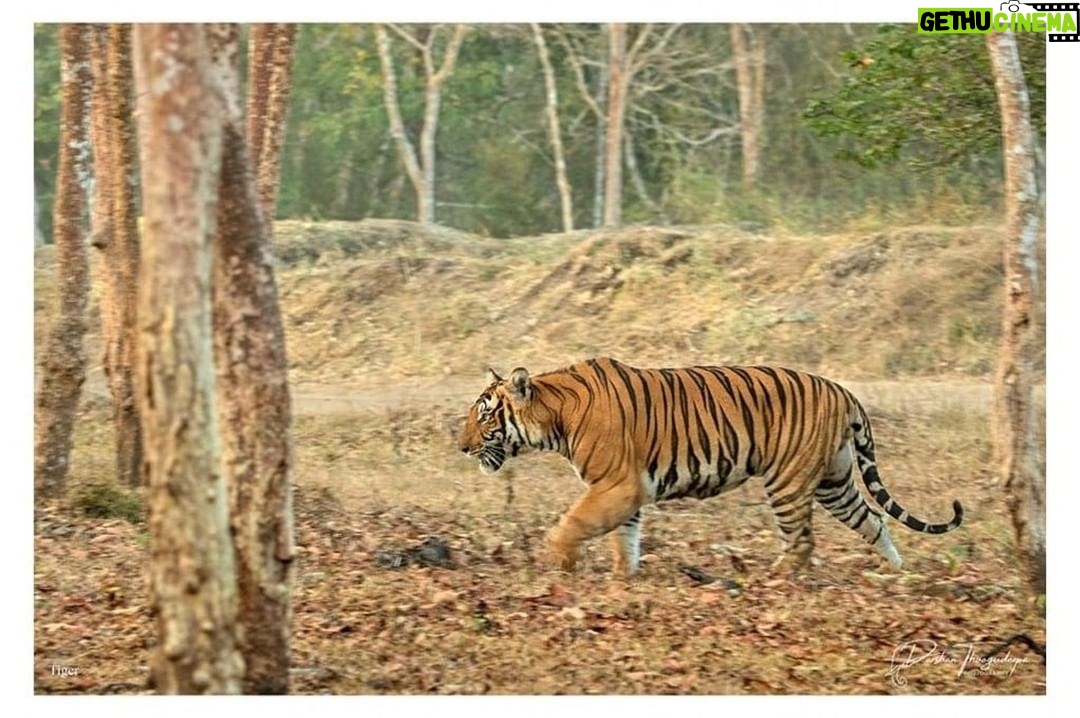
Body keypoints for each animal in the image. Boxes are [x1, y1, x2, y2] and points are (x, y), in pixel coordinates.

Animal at [457, 356, 963, 577]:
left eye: (483, 416)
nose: (460, 447)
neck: (555, 416)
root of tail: (842, 389)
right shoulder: (629, 490)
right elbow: (625, 538)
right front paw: (625, 576)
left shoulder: (616, 484)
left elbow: (574, 522)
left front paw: (559, 560)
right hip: (833, 482)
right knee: (873, 519)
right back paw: (897, 572)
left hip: (788, 480)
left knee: (802, 539)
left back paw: (776, 577)